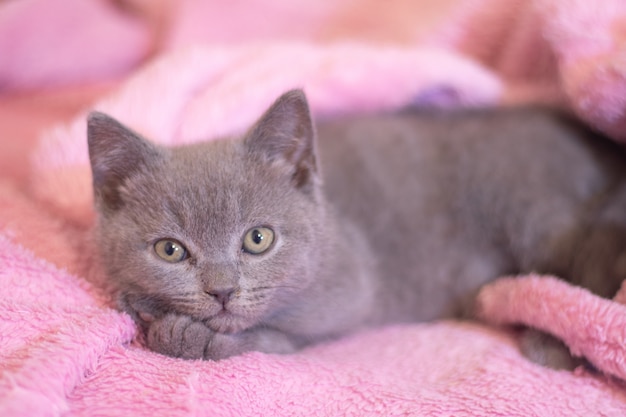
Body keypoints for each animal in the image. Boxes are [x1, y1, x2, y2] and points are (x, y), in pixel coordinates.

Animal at [86, 90, 624, 360]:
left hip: (532, 213)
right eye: (170, 250)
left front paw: (184, 335)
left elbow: (277, 338)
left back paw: (551, 343)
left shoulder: (350, 292)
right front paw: (148, 309)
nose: (221, 291)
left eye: (258, 239)